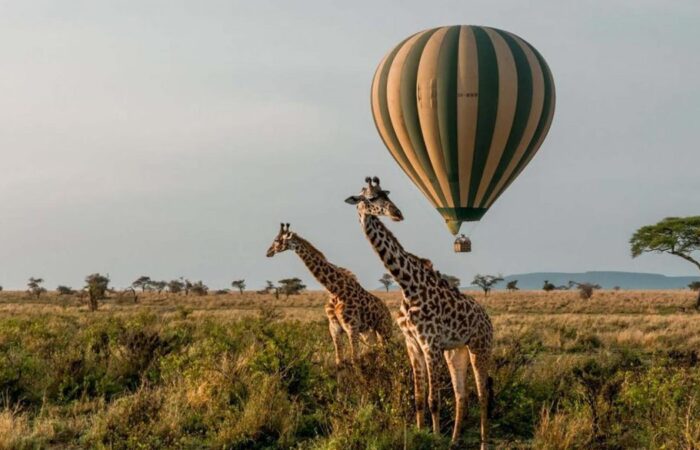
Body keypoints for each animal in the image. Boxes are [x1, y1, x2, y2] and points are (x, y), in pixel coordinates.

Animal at [266, 223, 393, 365]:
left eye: (277, 240)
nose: (268, 252)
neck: (335, 290)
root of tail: (387, 312)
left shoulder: (352, 327)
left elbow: (355, 360)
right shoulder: (334, 328)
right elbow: (339, 361)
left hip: (384, 330)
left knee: (388, 355)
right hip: (368, 333)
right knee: (378, 354)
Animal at [345, 177, 494, 448]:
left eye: (386, 194)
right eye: (370, 198)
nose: (397, 213)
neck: (407, 284)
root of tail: (488, 319)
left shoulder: (430, 344)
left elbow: (433, 401)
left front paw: (434, 438)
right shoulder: (412, 344)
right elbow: (418, 400)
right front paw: (420, 433)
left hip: (480, 347)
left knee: (482, 395)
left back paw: (483, 443)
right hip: (456, 351)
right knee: (461, 395)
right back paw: (454, 441)